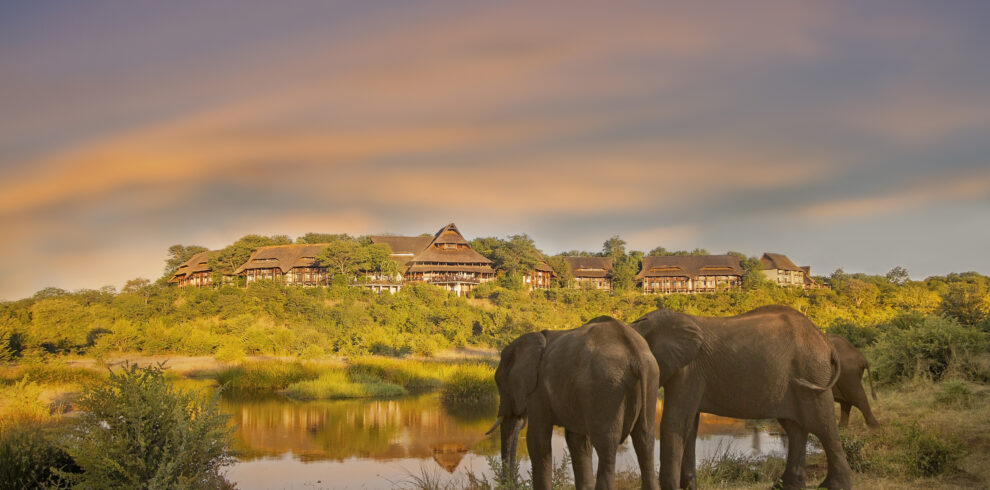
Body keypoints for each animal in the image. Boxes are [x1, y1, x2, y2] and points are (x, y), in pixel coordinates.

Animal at [488, 316, 660, 490]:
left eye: (498, 383)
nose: (510, 483)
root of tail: (635, 353)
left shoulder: (538, 391)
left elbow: (537, 440)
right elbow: (577, 441)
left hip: (607, 384)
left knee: (607, 447)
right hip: (650, 379)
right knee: (644, 441)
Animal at [636, 304, 852, 488]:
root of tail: (825, 341)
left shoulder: (688, 371)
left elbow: (674, 423)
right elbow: (689, 426)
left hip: (812, 372)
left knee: (822, 425)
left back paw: (834, 486)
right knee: (795, 429)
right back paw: (785, 486)